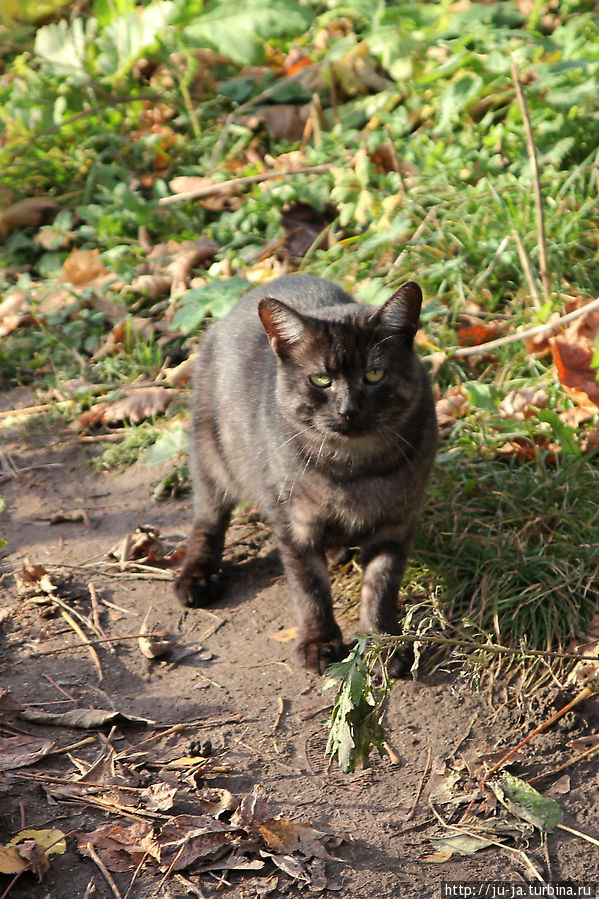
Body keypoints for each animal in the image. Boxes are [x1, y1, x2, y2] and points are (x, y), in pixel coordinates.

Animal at [173, 274, 436, 676]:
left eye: (374, 374)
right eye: (321, 380)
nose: (348, 410)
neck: (353, 470)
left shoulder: (397, 521)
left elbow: (381, 588)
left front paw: (383, 645)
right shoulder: (294, 524)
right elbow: (310, 588)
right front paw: (319, 643)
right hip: (213, 461)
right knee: (207, 521)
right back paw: (196, 578)